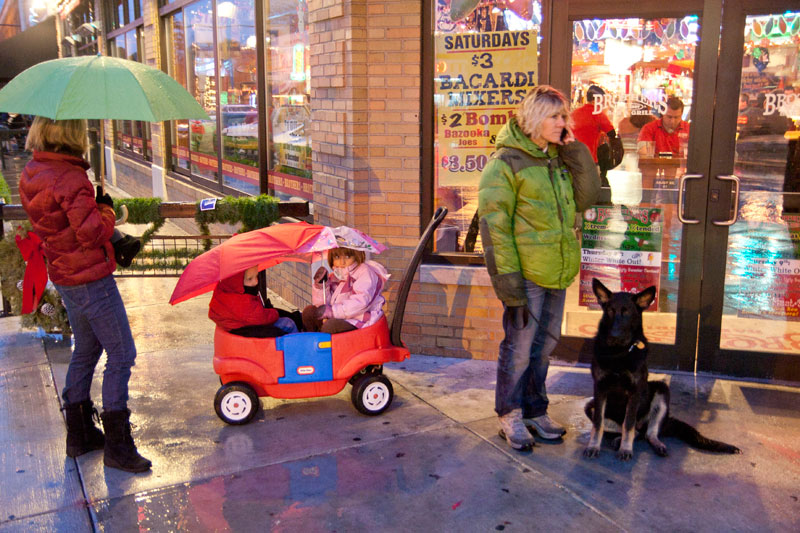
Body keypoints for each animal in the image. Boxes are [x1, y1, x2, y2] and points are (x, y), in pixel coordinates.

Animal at [580, 280, 744, 460]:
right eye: (610, 311)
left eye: (627, 312)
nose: (614, 336)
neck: (619, 353)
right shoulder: (600, 389)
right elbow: (598, 424)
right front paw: (594, 446)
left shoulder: (635, 391)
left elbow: (628, 424)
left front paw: (626, 449)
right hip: (589, 405)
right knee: (635, 431)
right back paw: (617, 439)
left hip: (661, 390)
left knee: (646, 432)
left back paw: (652, 444)